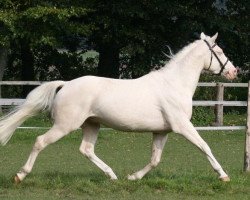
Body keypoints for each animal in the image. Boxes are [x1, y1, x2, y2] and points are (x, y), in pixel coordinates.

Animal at [0, 32, 237, 183]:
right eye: (220, 51)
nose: (234, 72)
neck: (174, 84)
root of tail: (65, 84)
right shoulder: (182, 126)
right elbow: (205, 146)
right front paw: (223, 175)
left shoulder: (161, 131)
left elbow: (155, 160)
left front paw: (133, 177)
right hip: (65, 126)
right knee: (40, 142)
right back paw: (20, 175)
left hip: (91, 124)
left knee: (86, 149)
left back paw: (112, 176)